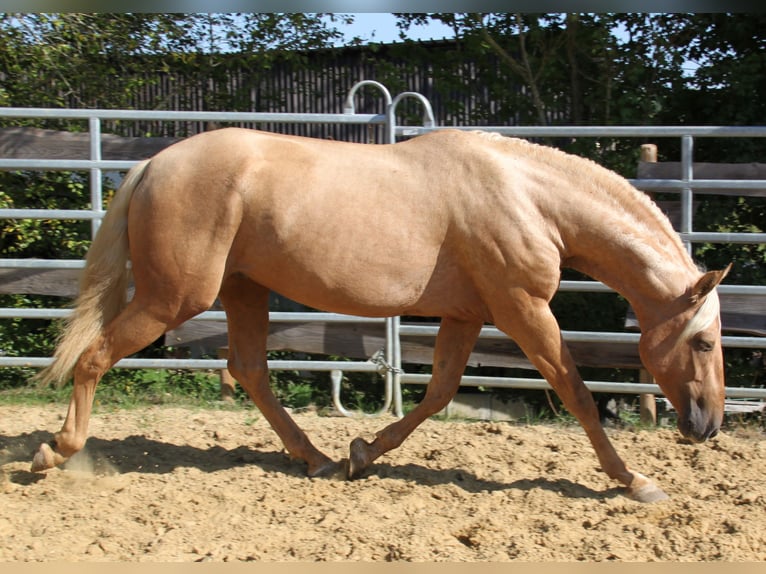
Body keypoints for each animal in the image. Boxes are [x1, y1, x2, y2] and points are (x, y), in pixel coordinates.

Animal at [30, 128, 730, 503]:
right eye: (703, 343)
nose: (708, 427)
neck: (527, 196)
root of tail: (152, 164)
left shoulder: (468, 314)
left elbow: (439, 391)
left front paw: (363, 453)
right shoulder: (522, 307)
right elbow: (576, 390)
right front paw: (635, 480)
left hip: (243, 291)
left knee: (251, 369)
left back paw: (316, 459)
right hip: (175, 298)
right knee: (96, 356)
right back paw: (55, 452)